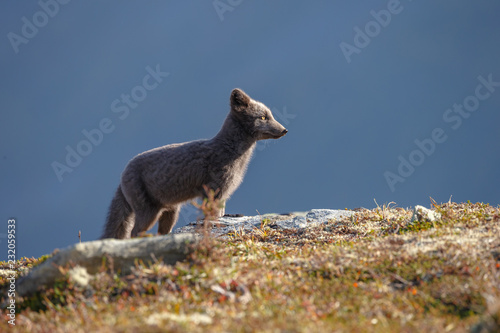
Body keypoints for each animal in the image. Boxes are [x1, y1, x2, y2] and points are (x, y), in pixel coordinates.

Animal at [100, 88, 290, 239]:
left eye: (270, 115)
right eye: (263, 117)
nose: (285, 130)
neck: (230, 152)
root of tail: (123, 175)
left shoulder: (223, 196)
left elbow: (220, 215)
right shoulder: (213, 192)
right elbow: (213, 218)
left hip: (170, 213)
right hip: (149, 212)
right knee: (134, 233)